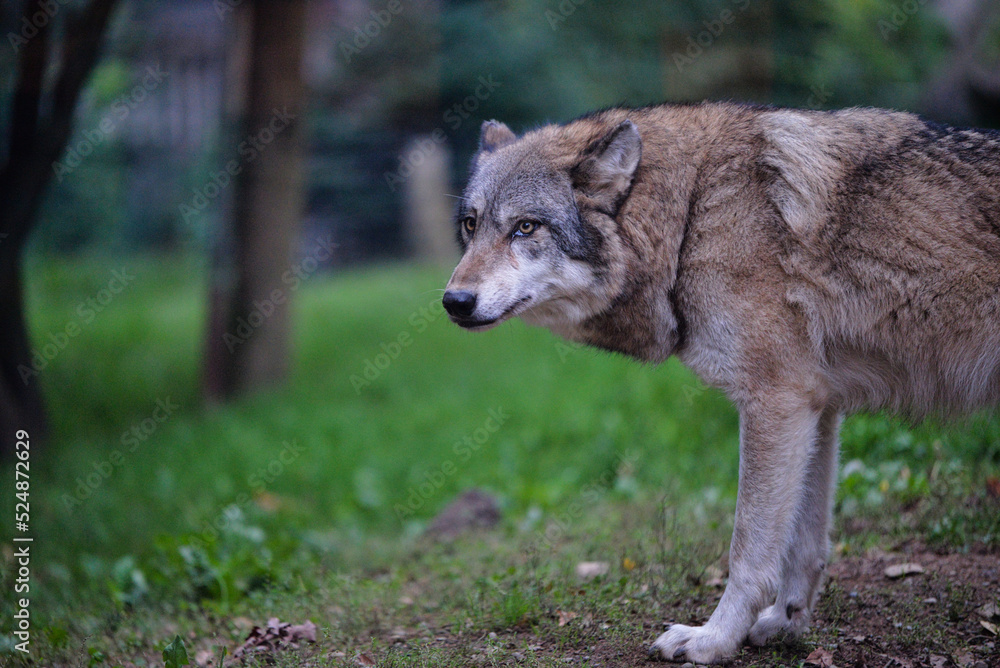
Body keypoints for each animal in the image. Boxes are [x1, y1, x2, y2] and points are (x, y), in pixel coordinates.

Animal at [442, 103, 1000, 664]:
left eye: (525, 227)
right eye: (471, 224)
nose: (454, 301)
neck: (692, 214)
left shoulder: (777, 399)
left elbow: (748, 552)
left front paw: (713, 639)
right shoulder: (817, 404)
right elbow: (805, 544)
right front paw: (786, 622)